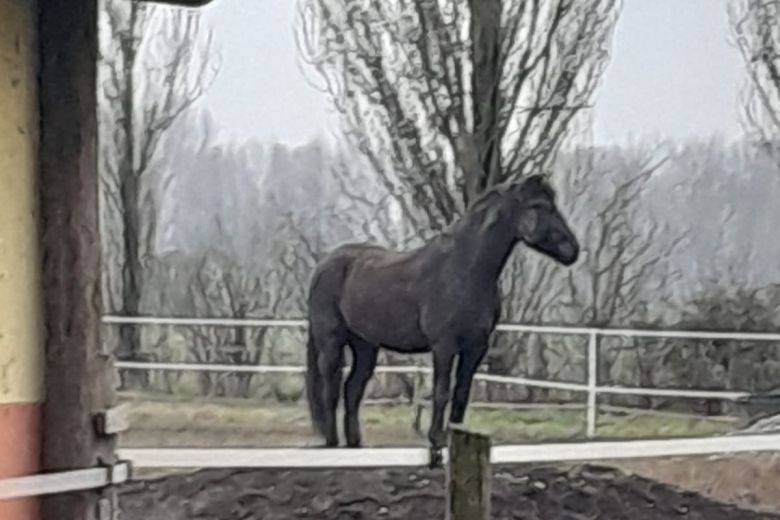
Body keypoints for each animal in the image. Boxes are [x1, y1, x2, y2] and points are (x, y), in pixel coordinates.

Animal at [304, 174, 580, 464]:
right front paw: (436, 441)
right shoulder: (444, 346)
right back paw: (332, 441)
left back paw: (355, 443)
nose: (572, 249)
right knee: (331, 386)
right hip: (331, 341)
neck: (464, 271)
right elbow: (442, 391)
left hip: (365, 345)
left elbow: (461, 393)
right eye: (539, 206)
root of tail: (324, 265)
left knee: (352, 388)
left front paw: (456, 434)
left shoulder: (475, 347)